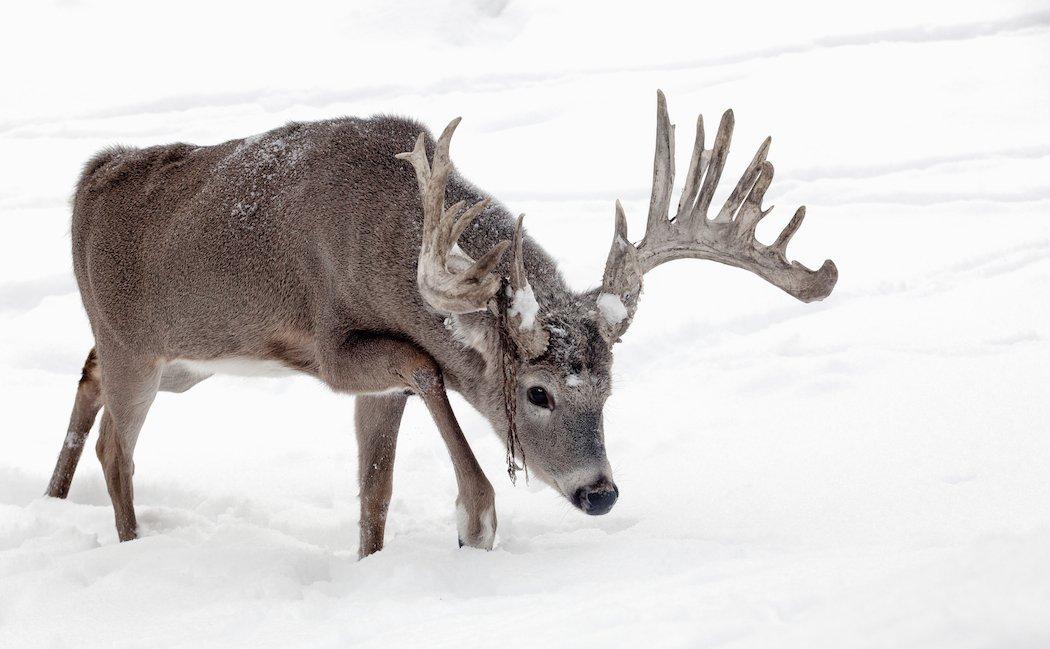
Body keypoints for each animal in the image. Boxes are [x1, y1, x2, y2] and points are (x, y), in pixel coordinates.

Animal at [45, 90, 839, 554]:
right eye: (537, 392)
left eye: (610, 388)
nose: (600, 492)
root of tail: (89, 177)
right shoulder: (332, 349)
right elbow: (427, 368)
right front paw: (476, 517)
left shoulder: (370, 386)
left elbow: (375, 486)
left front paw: (373, 559)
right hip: (137, 348)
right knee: (117, 446)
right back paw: (130, 542)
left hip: (181, 364)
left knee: (87, 378)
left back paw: (52, 497)